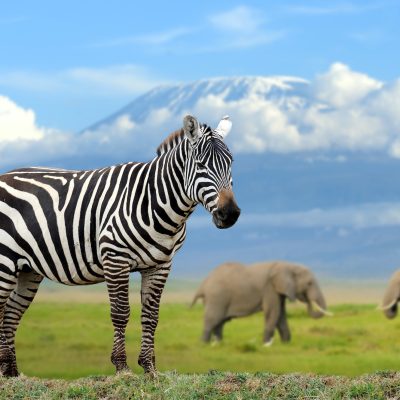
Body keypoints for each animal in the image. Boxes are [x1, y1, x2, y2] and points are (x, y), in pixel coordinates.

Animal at [0, 114, 239, 376]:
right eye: (200, 165)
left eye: (231, 163)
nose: (230, 214)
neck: (155, 202)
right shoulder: (115, 258)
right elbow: (120, 312)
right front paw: (122, 366)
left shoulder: (161, 265)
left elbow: (151, 316)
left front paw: (149, 368)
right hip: (5, 261)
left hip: (27, 268)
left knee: (11, 313)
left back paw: (11, 372)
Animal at [191, 260, 332, 346]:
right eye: (309, 283)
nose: (306, 299)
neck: (287, 265)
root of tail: (203, 284)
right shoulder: (269, 289)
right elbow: (273, 313)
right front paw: (266, 344)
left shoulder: (278, 291)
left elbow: (281, 315)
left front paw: (286, 344)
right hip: (217, 297)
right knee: (213, 320)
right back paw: (204, 344)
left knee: (220, 323)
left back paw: (218, 344)